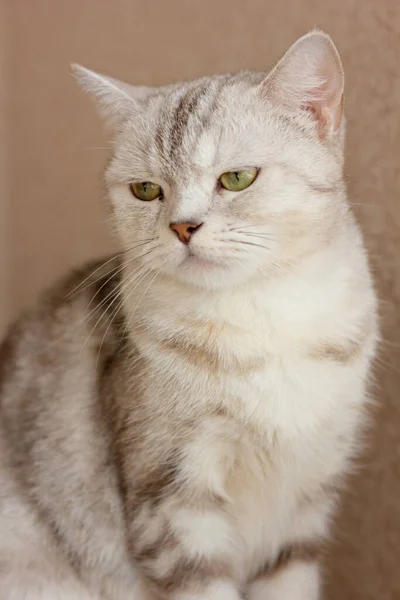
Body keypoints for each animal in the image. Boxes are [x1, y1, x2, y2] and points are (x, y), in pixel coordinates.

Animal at [0, 30, 378, 596]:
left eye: (237, 178)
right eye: (146, 190)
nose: (183, 227)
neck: (262, 325)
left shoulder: (305, 505)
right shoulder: (173, 503)